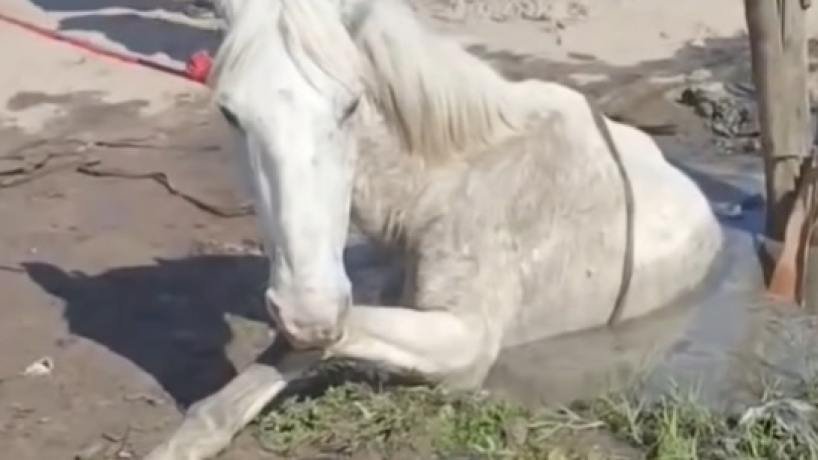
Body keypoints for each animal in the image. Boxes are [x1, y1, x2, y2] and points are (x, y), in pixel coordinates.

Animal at [145, 0, 724, 458]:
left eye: (351, 105)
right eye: (230, 113)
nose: (307, 312)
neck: (448, 181)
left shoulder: (466, 340)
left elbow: (325, 339)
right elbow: (289, 351)